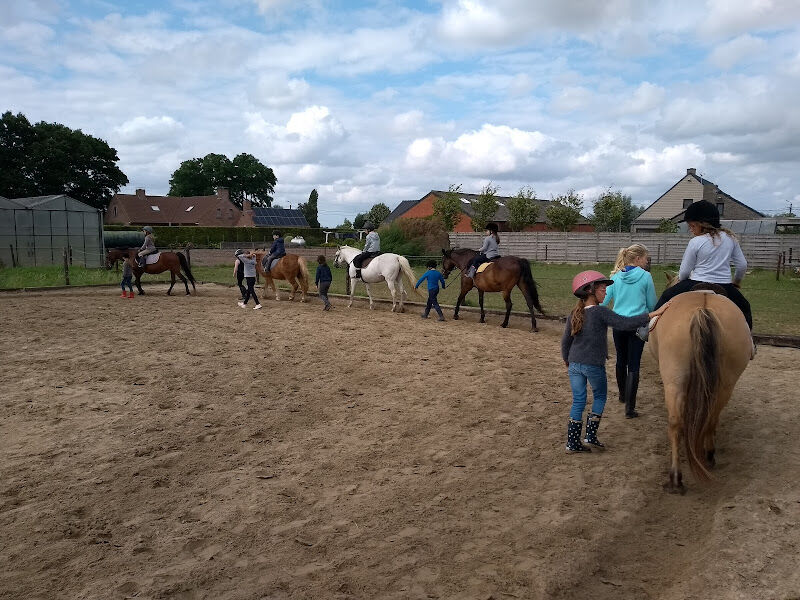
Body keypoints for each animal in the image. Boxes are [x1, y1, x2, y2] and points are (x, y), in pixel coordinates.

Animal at [648, 288, 752, 494]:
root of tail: (702, 309)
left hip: (674, 381)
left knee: (678, 422)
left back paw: (679, 475)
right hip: (725, 385)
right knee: (707, 418)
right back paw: (703, 457)